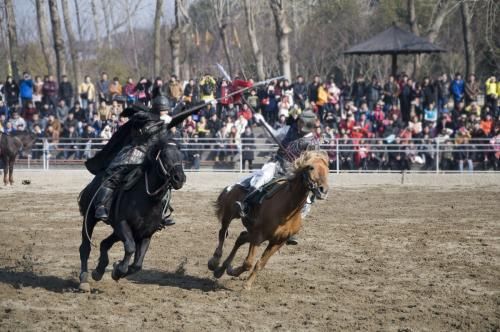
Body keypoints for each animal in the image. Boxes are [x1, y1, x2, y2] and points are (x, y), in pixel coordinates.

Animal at [77, 136, 187, 292]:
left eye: (181, 156)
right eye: (165, 156)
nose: (179, 178)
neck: (147, 199)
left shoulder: (146, 234)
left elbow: (137, 265)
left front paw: (116, 269)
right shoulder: (122, 224)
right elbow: (130, 247)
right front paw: (118, 270)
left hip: (119, 231)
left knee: (104, 243)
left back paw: (98, 271)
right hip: (90, 219)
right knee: (85, 248)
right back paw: (84, 280)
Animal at [209, 150, 330, 288]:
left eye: (327, 168)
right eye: (311, 167)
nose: (323, 190)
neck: (287, 211)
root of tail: (235, 185)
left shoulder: (277, 242)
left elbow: (260, 264)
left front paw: (246, 283)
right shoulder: (258, 236)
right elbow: (248, 263)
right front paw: (235, 273)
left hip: (251, 231)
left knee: (240, 238)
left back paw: (221, 269)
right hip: (230, 214)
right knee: (223, 232)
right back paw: (214, 262)